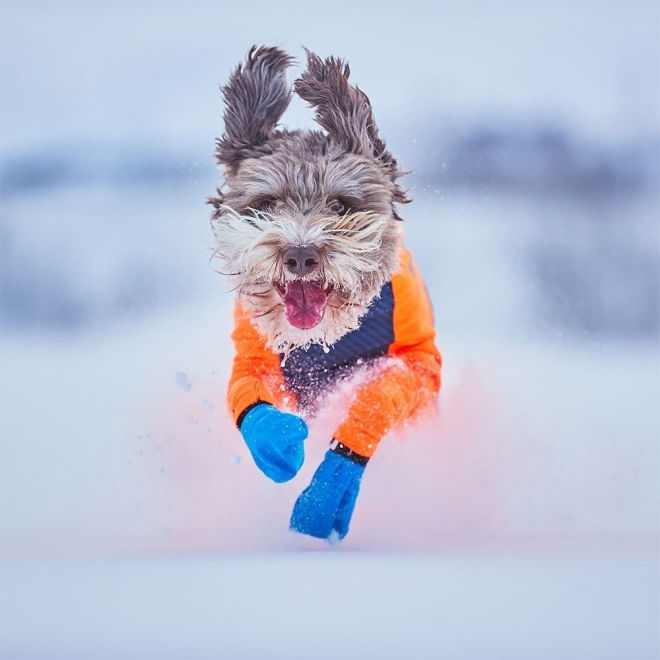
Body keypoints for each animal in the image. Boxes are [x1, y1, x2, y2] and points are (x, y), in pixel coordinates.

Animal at [209, 46, 440, 540]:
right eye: (266, 204)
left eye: (340, 205)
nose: (300, 255)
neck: (324, 338)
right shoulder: (255, 353)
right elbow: (251, 396)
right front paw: (279, 441)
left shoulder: (419, 361)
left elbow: (378, 397)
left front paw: (328, 490)